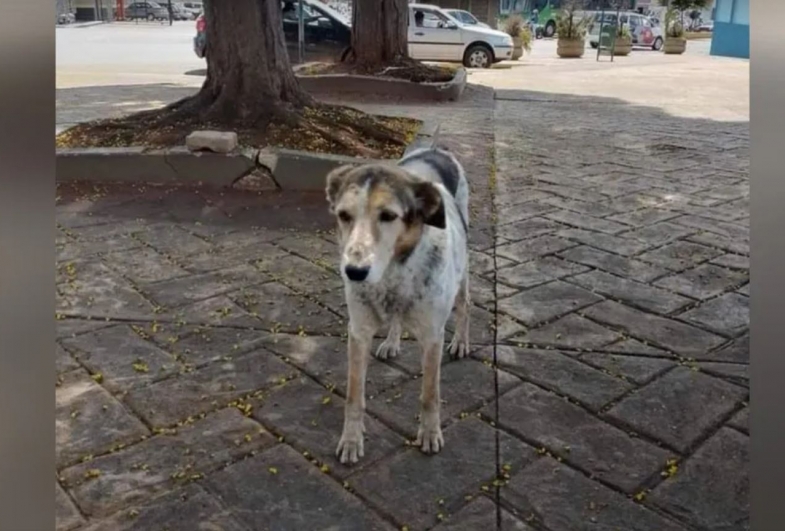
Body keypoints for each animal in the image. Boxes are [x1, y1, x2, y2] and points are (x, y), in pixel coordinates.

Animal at [326, 148, 472, 464]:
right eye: (343, 215)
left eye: (389, 216)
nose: (354, 272)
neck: (393, 274)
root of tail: (435, 148)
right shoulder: (358, 332)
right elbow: (354, 396)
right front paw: (352, 439)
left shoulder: (432, 336)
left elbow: (430, 395)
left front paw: (429, 433)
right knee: (396, 320)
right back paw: (392, 342)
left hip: (463, 272)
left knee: (465, 305)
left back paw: (461, 342)